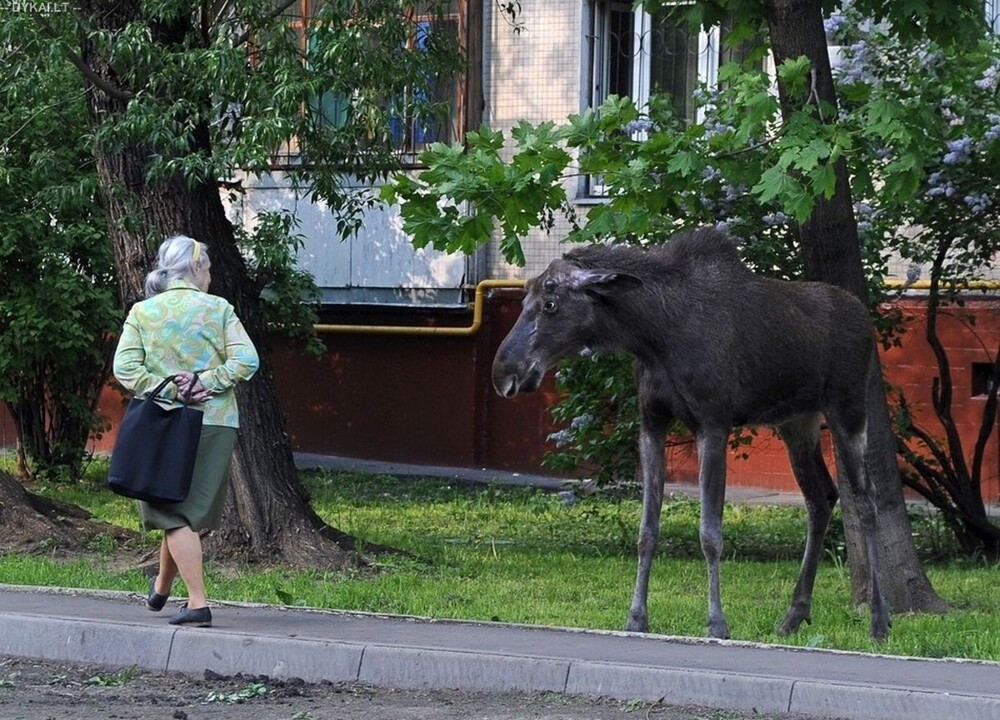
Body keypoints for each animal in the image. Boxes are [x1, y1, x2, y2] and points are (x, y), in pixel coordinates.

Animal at [492, 228, 892, 640]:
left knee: (866, 500)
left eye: (550, 303)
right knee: (821, 497)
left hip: (848, 408)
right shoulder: (651, 423)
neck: (654, 337)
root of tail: (866, 319)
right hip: (796, 422)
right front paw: (636, 617)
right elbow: (647, 531)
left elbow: (710, 534)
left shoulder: (713, 424)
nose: (503, 372)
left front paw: (717, 622)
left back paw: (879, 618)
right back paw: (795, 613)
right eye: (524, 298)